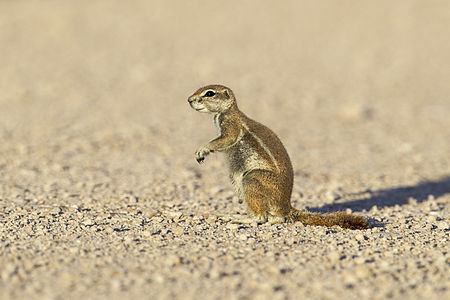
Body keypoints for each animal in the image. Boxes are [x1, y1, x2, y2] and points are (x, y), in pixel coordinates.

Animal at [188, 84, 368, 230]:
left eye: (209, 93)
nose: (189, 100)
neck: (226, 112)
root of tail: (285, 207)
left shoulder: (231, 127)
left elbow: (225, 140)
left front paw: (202, 149)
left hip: (252, 178)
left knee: (261, 217)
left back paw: (240, 218)